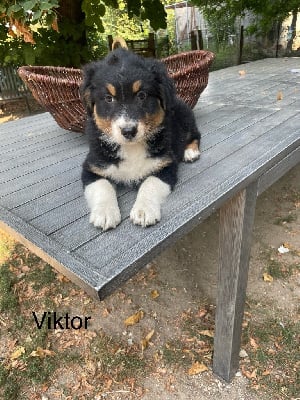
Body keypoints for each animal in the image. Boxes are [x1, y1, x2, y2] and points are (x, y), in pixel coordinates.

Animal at [81, 49, 200, 231]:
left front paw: (144, 211)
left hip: (186, 118)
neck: (131, 147)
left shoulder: (165, 165)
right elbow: (102, 186)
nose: (128, 131)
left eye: (142, 95)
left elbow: (150, 183)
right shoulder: (92, 167)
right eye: (108, 98)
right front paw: (105, 213)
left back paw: (190, 152)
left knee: (195, 135)